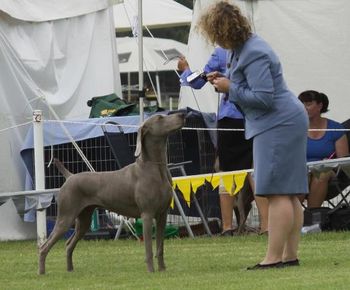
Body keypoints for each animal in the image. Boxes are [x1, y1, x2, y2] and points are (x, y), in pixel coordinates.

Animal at [38, 112, 186, 274]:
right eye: (160, 118)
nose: (182, 114)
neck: (156, 168)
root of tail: (70, 176)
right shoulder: (147, 214)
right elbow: (148, 248)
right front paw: (151, 271)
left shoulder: (162, 215)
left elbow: (160, 247)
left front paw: (162, 270)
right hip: (66, 217)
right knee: (44, 246)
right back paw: (42, 272)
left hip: (84, 220)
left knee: (68, 244)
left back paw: (70, 270)